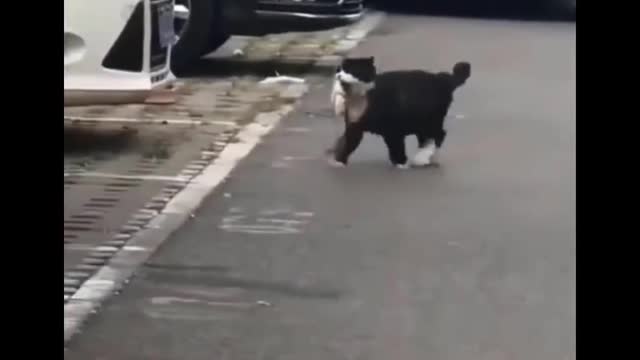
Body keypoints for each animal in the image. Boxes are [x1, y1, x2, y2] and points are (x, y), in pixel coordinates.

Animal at [330, 56, 470, 169]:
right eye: (340, 69)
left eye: (350, 69)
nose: (338, 75)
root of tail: (444, 78)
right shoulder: (355, 127)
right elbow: (347, 144)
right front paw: (339, 161)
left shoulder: (393, 130)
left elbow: (397, 147)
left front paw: (401, 163)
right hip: (421, 123)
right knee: (428, 138)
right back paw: (427, 158)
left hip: (431, 120)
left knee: (439, 135)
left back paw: (421, 158)